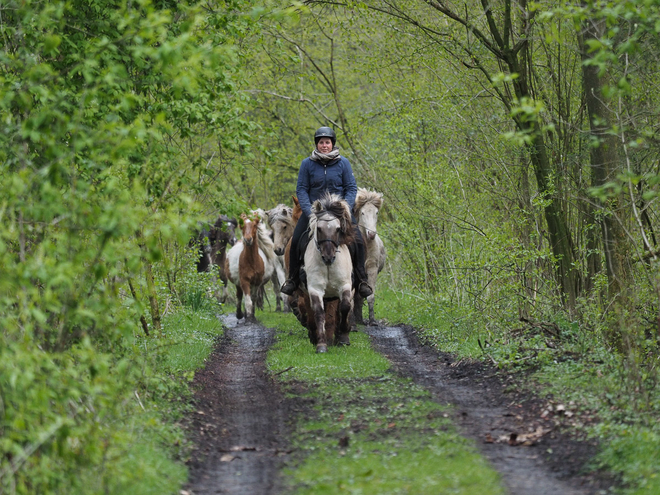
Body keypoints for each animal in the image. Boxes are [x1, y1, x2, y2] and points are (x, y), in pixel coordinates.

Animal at [304, 193, 356, 352]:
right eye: (319, 228)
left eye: (338, 229)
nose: (328, 257)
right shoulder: (315, 289)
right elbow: (319, 313)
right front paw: (321, 344)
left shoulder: (345, 286)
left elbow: (345, 307)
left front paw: (344, 336)